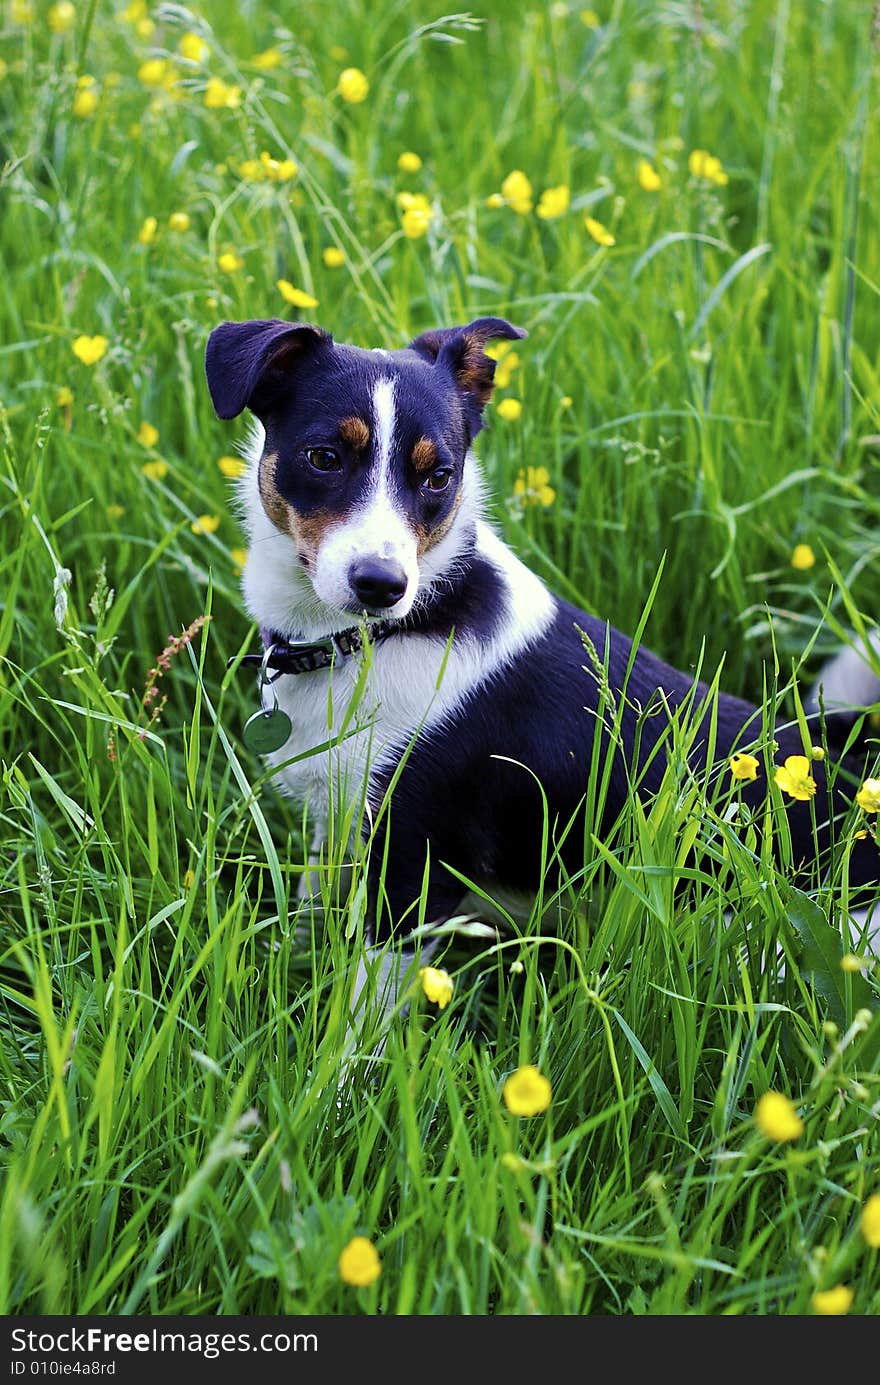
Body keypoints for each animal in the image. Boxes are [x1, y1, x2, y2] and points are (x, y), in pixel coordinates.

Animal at [206, 317, 880, 1019]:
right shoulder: (336, 821)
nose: (381, 585)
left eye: (439, 476)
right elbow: (309, 911)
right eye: (324, 458)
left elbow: (363, 1017)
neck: (382, 636)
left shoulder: (415, 870)